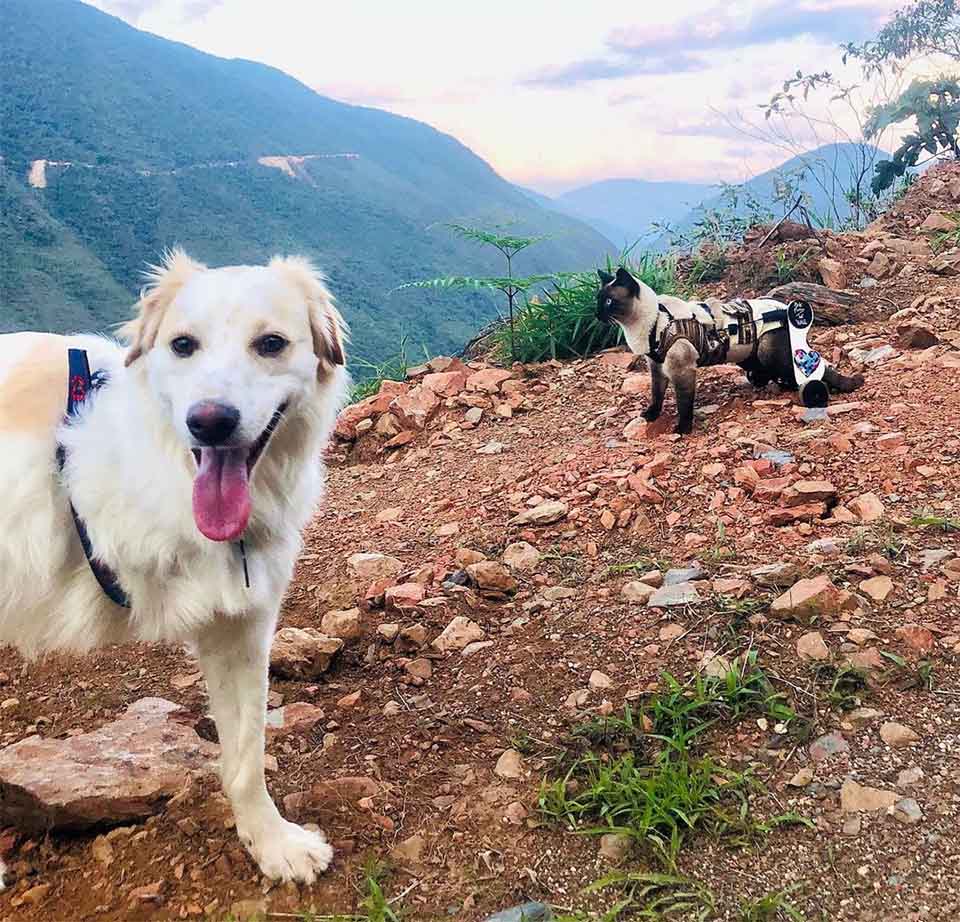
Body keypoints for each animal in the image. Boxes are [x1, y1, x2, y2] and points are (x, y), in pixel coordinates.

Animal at [0, 248, 346, 888]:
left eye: (271, 344)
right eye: (183, 345)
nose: (208, 421)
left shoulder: (240, 625)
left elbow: (246, 755)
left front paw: (270, 842)